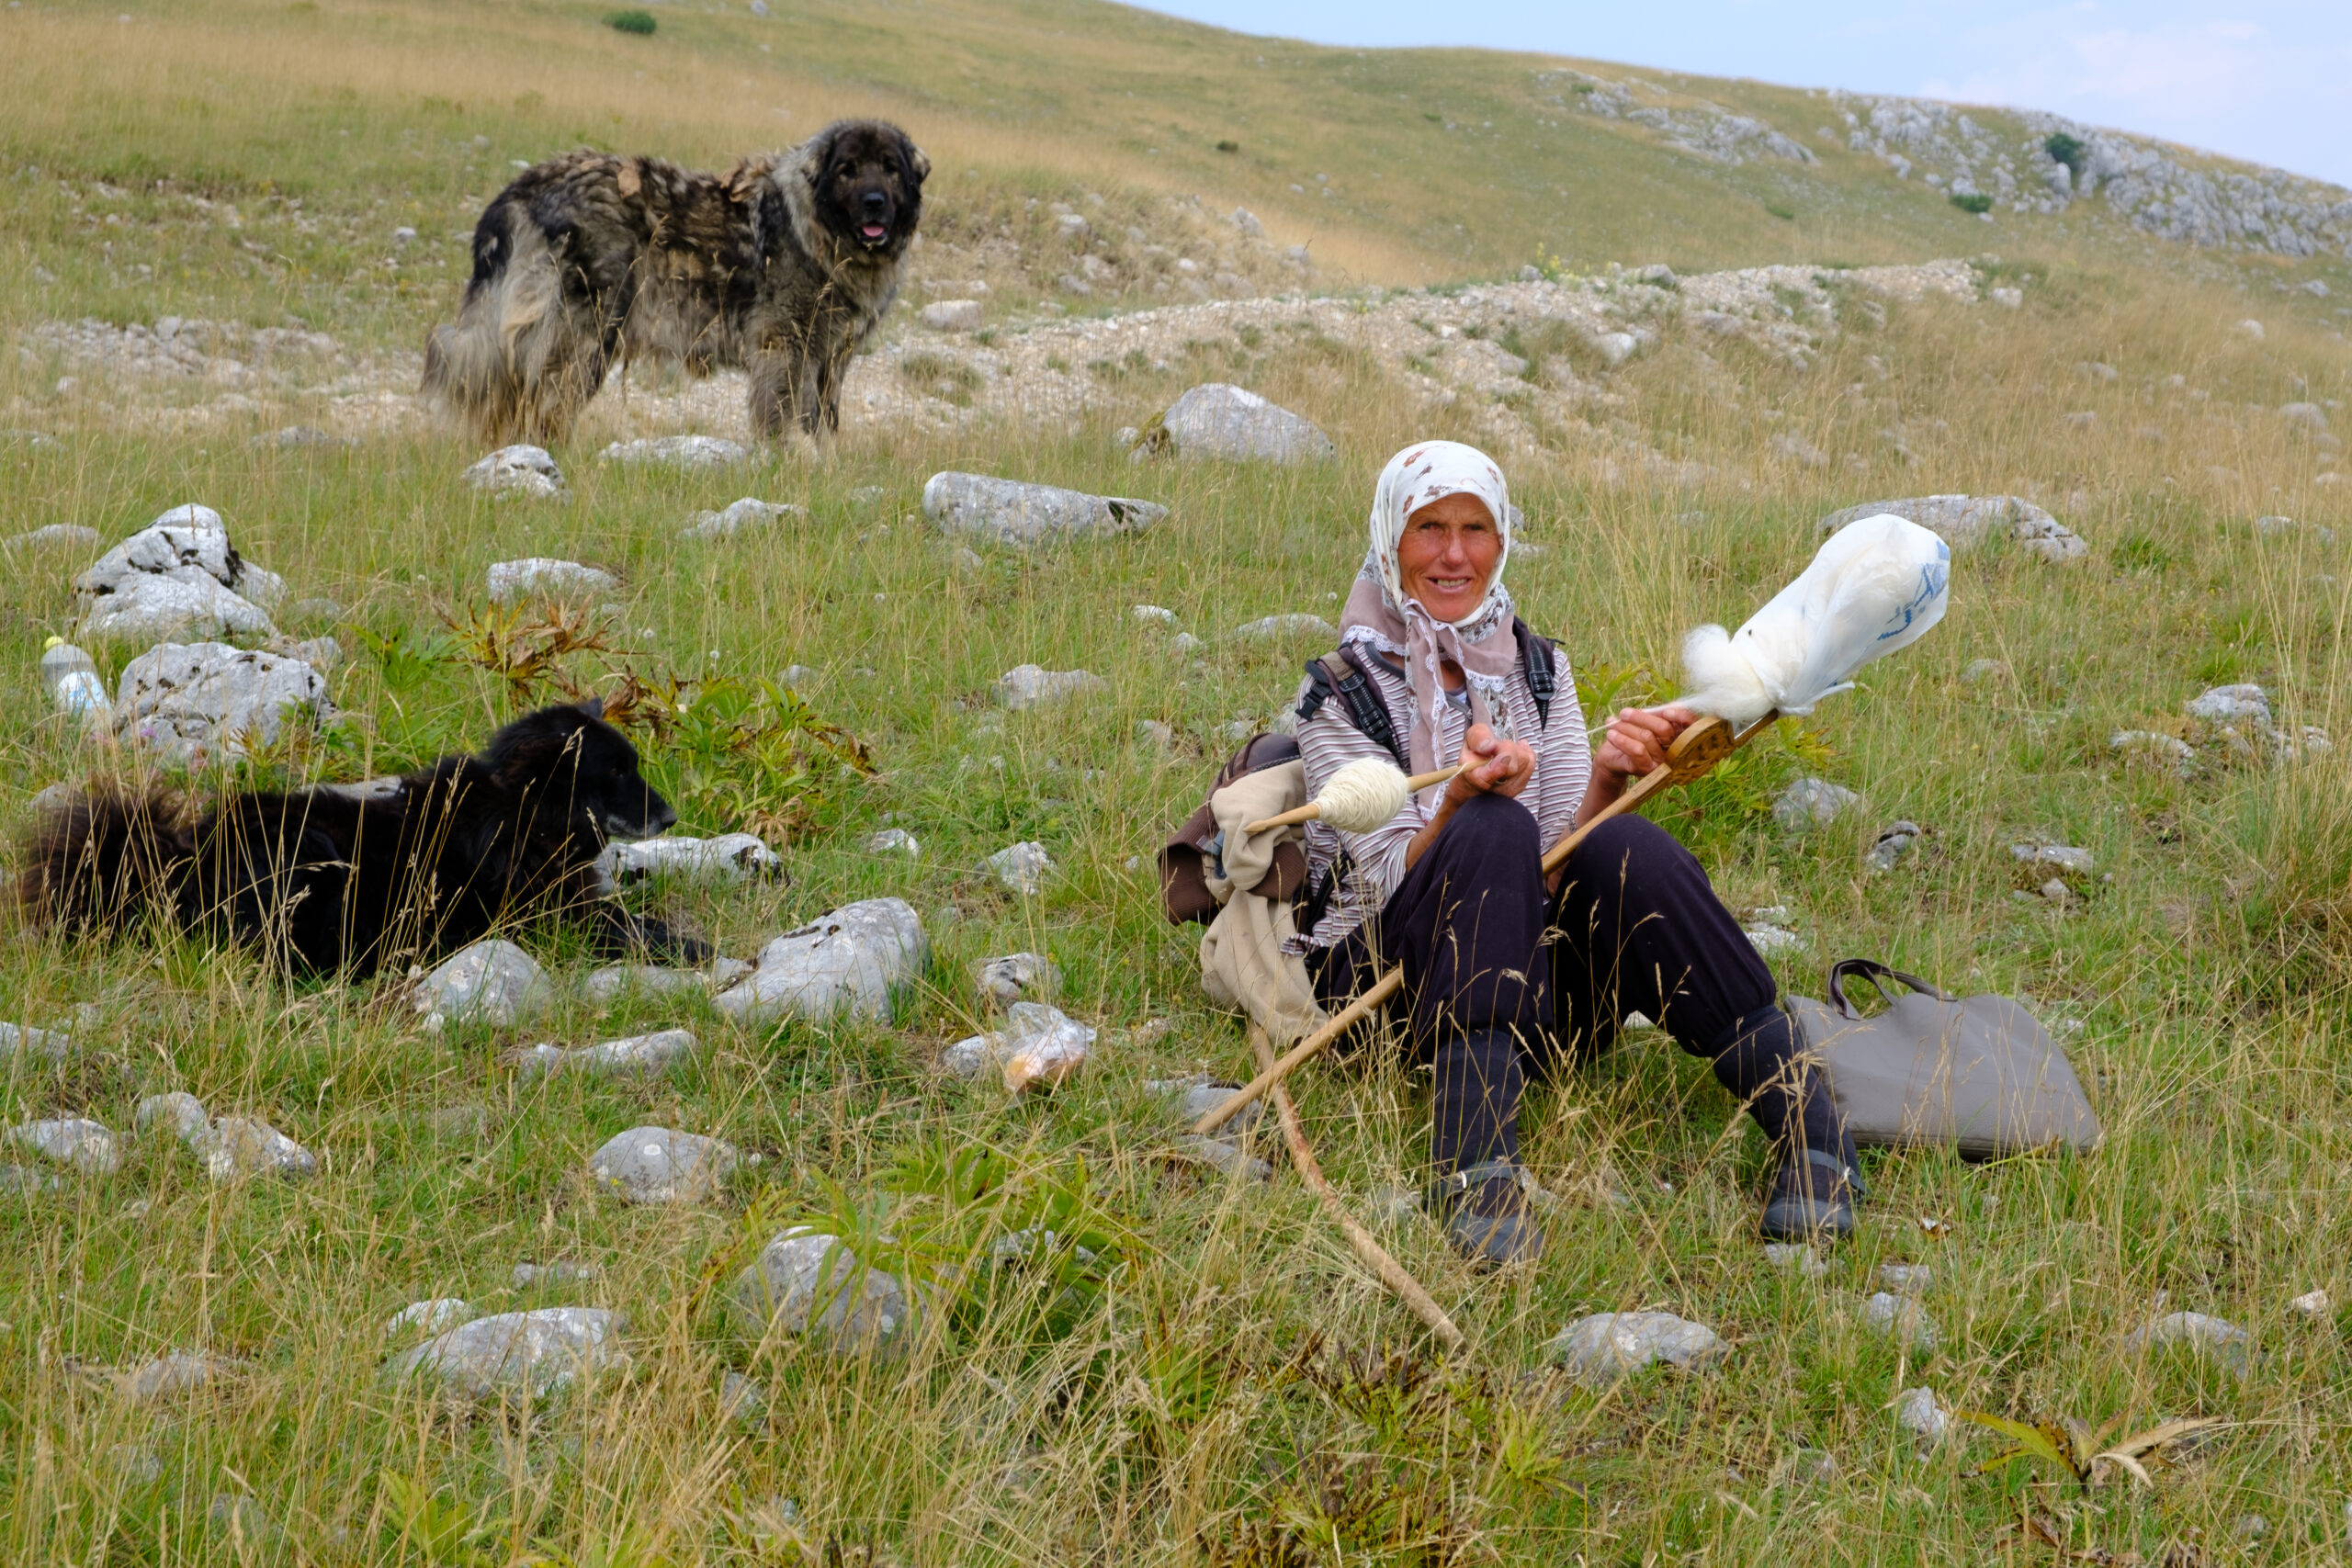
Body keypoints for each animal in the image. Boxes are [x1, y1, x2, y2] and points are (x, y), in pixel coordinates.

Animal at [18, 705, 706, 973]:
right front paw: (692, 945)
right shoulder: (553, 915)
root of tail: (181, 858)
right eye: (616, 773)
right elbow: (630, 925)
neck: (523, 812)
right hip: (316, 855)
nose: (673, 818)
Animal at [423, 118, 926, 442]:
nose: (875, 203)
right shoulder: (785, 345)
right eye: (848, 170)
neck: (816, 229)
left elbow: (823, 419)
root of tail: (524, 186)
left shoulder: (831, 357)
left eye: (890, 167)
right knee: (541, 405)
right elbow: (786, 415)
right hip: (582, 336)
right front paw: (794, 460)